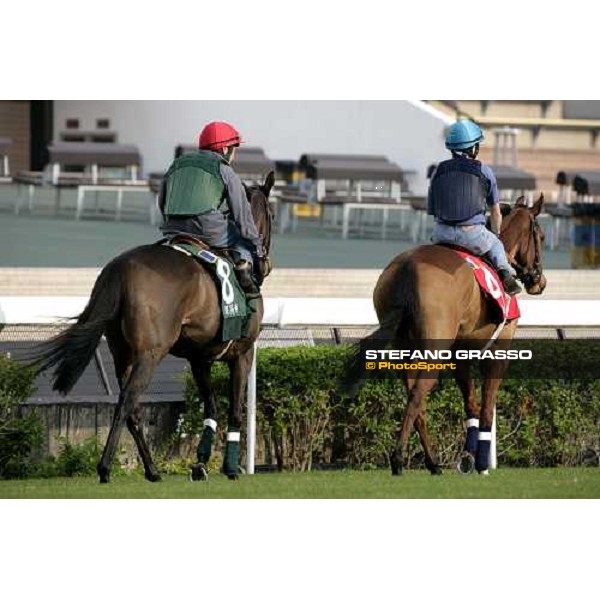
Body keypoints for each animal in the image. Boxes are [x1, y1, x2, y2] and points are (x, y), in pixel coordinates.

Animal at [31, 171, 276, 480]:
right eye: (272, 214)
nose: (265, 264)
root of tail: (120, 268)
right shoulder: (243, 352)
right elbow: (235, 409)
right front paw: (230, 468)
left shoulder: (200, 359)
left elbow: (211, 407)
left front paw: (200, 464)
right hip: (150, 353)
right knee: (127, 402)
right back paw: (106, 468)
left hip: (122, 353)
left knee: (132, 409)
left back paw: (152, 469)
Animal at [344, 195, 548, 476]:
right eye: (541, 236)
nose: (540, 282)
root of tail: (406, 268)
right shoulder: (499, 350)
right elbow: (486, 408)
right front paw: (481, 464)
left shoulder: (460, 354)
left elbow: (471, 404)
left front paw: (467, 459)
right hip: (433, 348)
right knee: (418, 393)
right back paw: (398, 459)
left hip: (405, 348)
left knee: (414, 395)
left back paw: (432, 462)